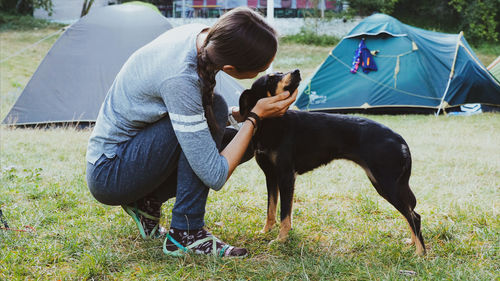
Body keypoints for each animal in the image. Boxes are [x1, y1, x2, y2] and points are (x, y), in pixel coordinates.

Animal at [239, 69, 426, 254]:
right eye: (271, 78)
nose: (296, 71)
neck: (273, 124)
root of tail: (398, 138)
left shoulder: (286, 177)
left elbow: (285, 214)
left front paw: (281, 240)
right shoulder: (271, 176)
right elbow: (271, 210)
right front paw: (265, 232)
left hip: (387, 184)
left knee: (414, 216)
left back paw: (420, 253)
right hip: (384, 183)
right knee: (410, 213)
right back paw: (412, 242)